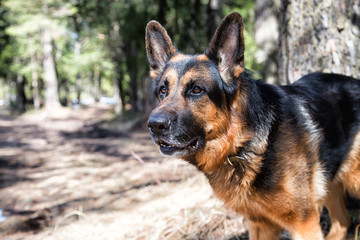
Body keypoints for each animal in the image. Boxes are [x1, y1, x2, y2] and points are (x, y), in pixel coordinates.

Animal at [145, 11, 358, 240]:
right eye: (163, 90)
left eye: (196, 89)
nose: (154, 125)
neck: (243, 144)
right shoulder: (260, 224)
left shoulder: (304, 223)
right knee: (343, 222)